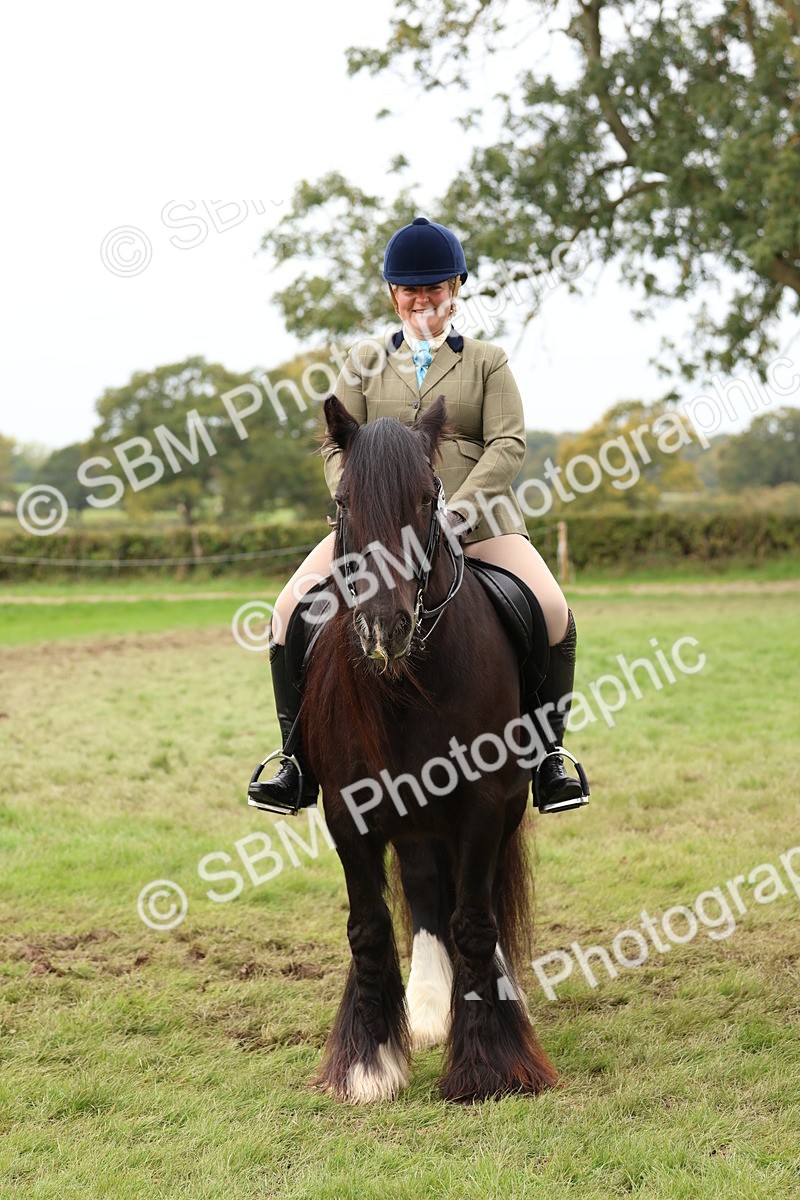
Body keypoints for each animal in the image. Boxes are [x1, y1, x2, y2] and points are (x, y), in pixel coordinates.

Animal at [300, 393, 559, 1103]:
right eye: (344, 501)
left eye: (425, 498)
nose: (384, 629)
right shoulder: (348, 808)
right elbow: (368, 925)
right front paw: (367, 1063)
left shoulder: (483, 802)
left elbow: (474, 919)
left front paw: (489, 1064)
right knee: (422, 891)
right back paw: (426, 1008)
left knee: (477, 900)